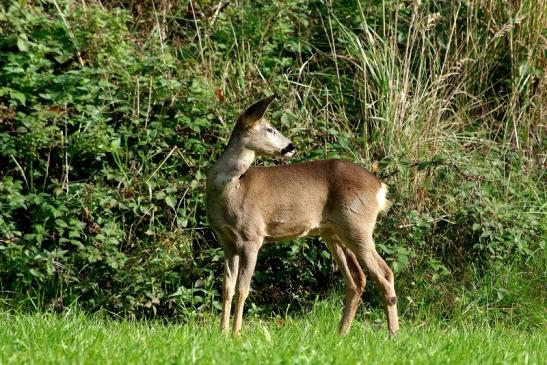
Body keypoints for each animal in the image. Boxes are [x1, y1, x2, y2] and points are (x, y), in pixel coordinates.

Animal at [206, 94, 398, 336]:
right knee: (356, 279)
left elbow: (243, 289)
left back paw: (393, 334)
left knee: (384, 273)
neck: (230, 189)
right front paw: (222, 332)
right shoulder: (226, 240)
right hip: (332, 232)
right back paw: (341, 333)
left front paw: (236, 334)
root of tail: (380, 187)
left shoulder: (252, 236)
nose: (290, 146)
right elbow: (227, 287)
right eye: (270, 128)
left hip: (357, 225)